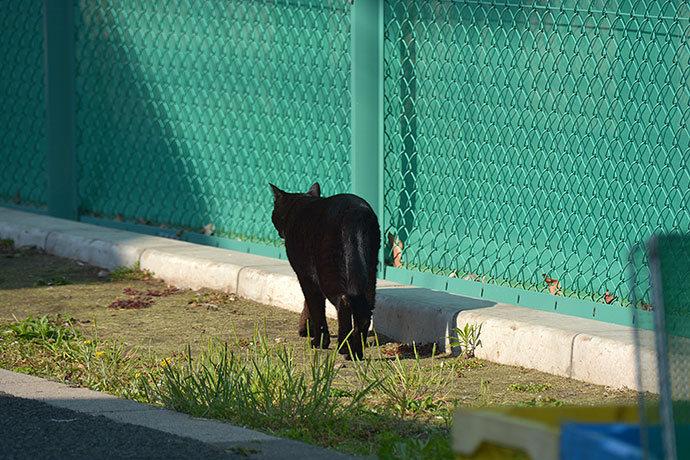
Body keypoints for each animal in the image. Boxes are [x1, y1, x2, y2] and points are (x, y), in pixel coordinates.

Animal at [268, 181, 378, 360]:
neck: (298, 204)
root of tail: (355, 212)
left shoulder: (305, 275)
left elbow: (316, 308)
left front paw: (318, 341)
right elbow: (309, 304)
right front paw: (305, 329)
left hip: (329, 271)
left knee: (343, 301)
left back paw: (343, 347)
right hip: (369, 271)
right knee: (364, 312)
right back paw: (355, 353)